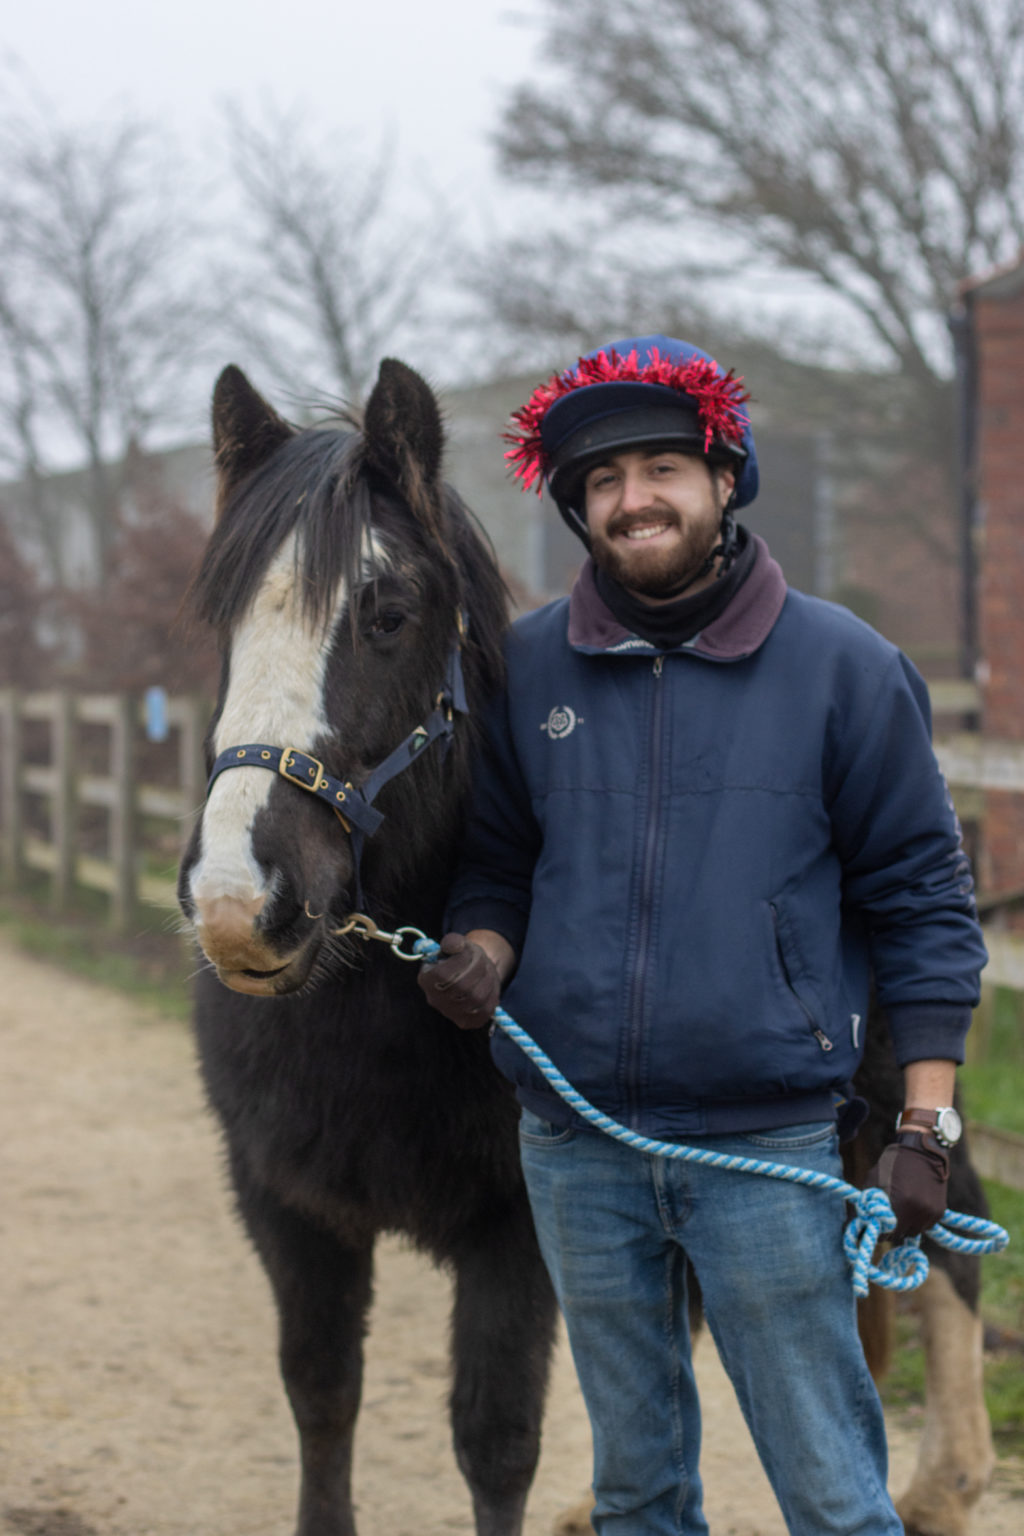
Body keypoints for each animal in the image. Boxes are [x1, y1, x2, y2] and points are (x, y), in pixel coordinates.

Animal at [179, 362, 555, 1536]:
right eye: (222, 621)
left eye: (387, 615)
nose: (237, 903)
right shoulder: (287, 1207)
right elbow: (322, 1393)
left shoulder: (521, 1231)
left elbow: (496, 1445)